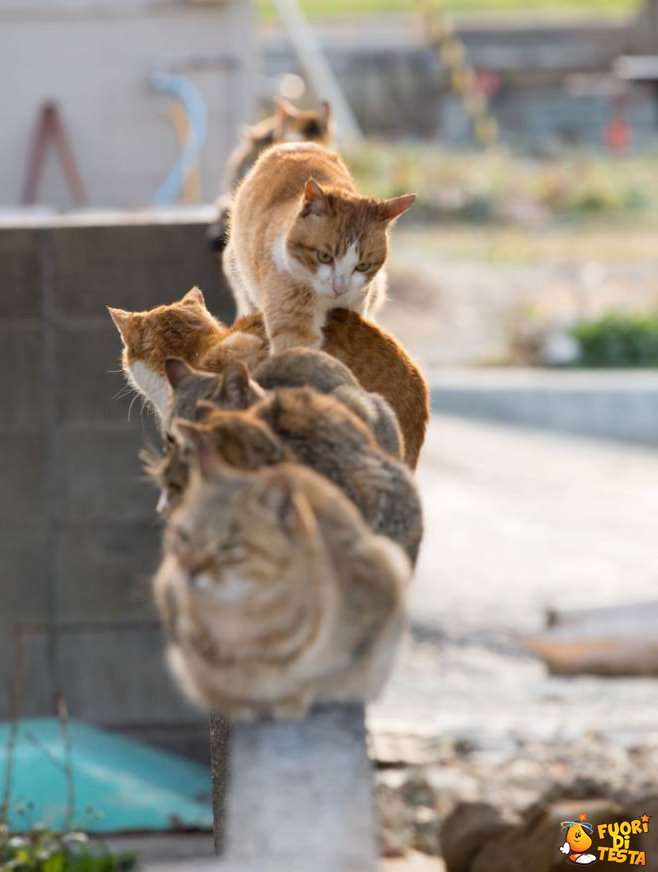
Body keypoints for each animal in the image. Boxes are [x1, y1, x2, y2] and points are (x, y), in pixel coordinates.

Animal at [223, 140, 412, 350]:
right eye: (324, 257)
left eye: (363, 265)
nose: (340, 289)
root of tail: (297, 143)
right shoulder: (292, 322)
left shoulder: (354, 308)